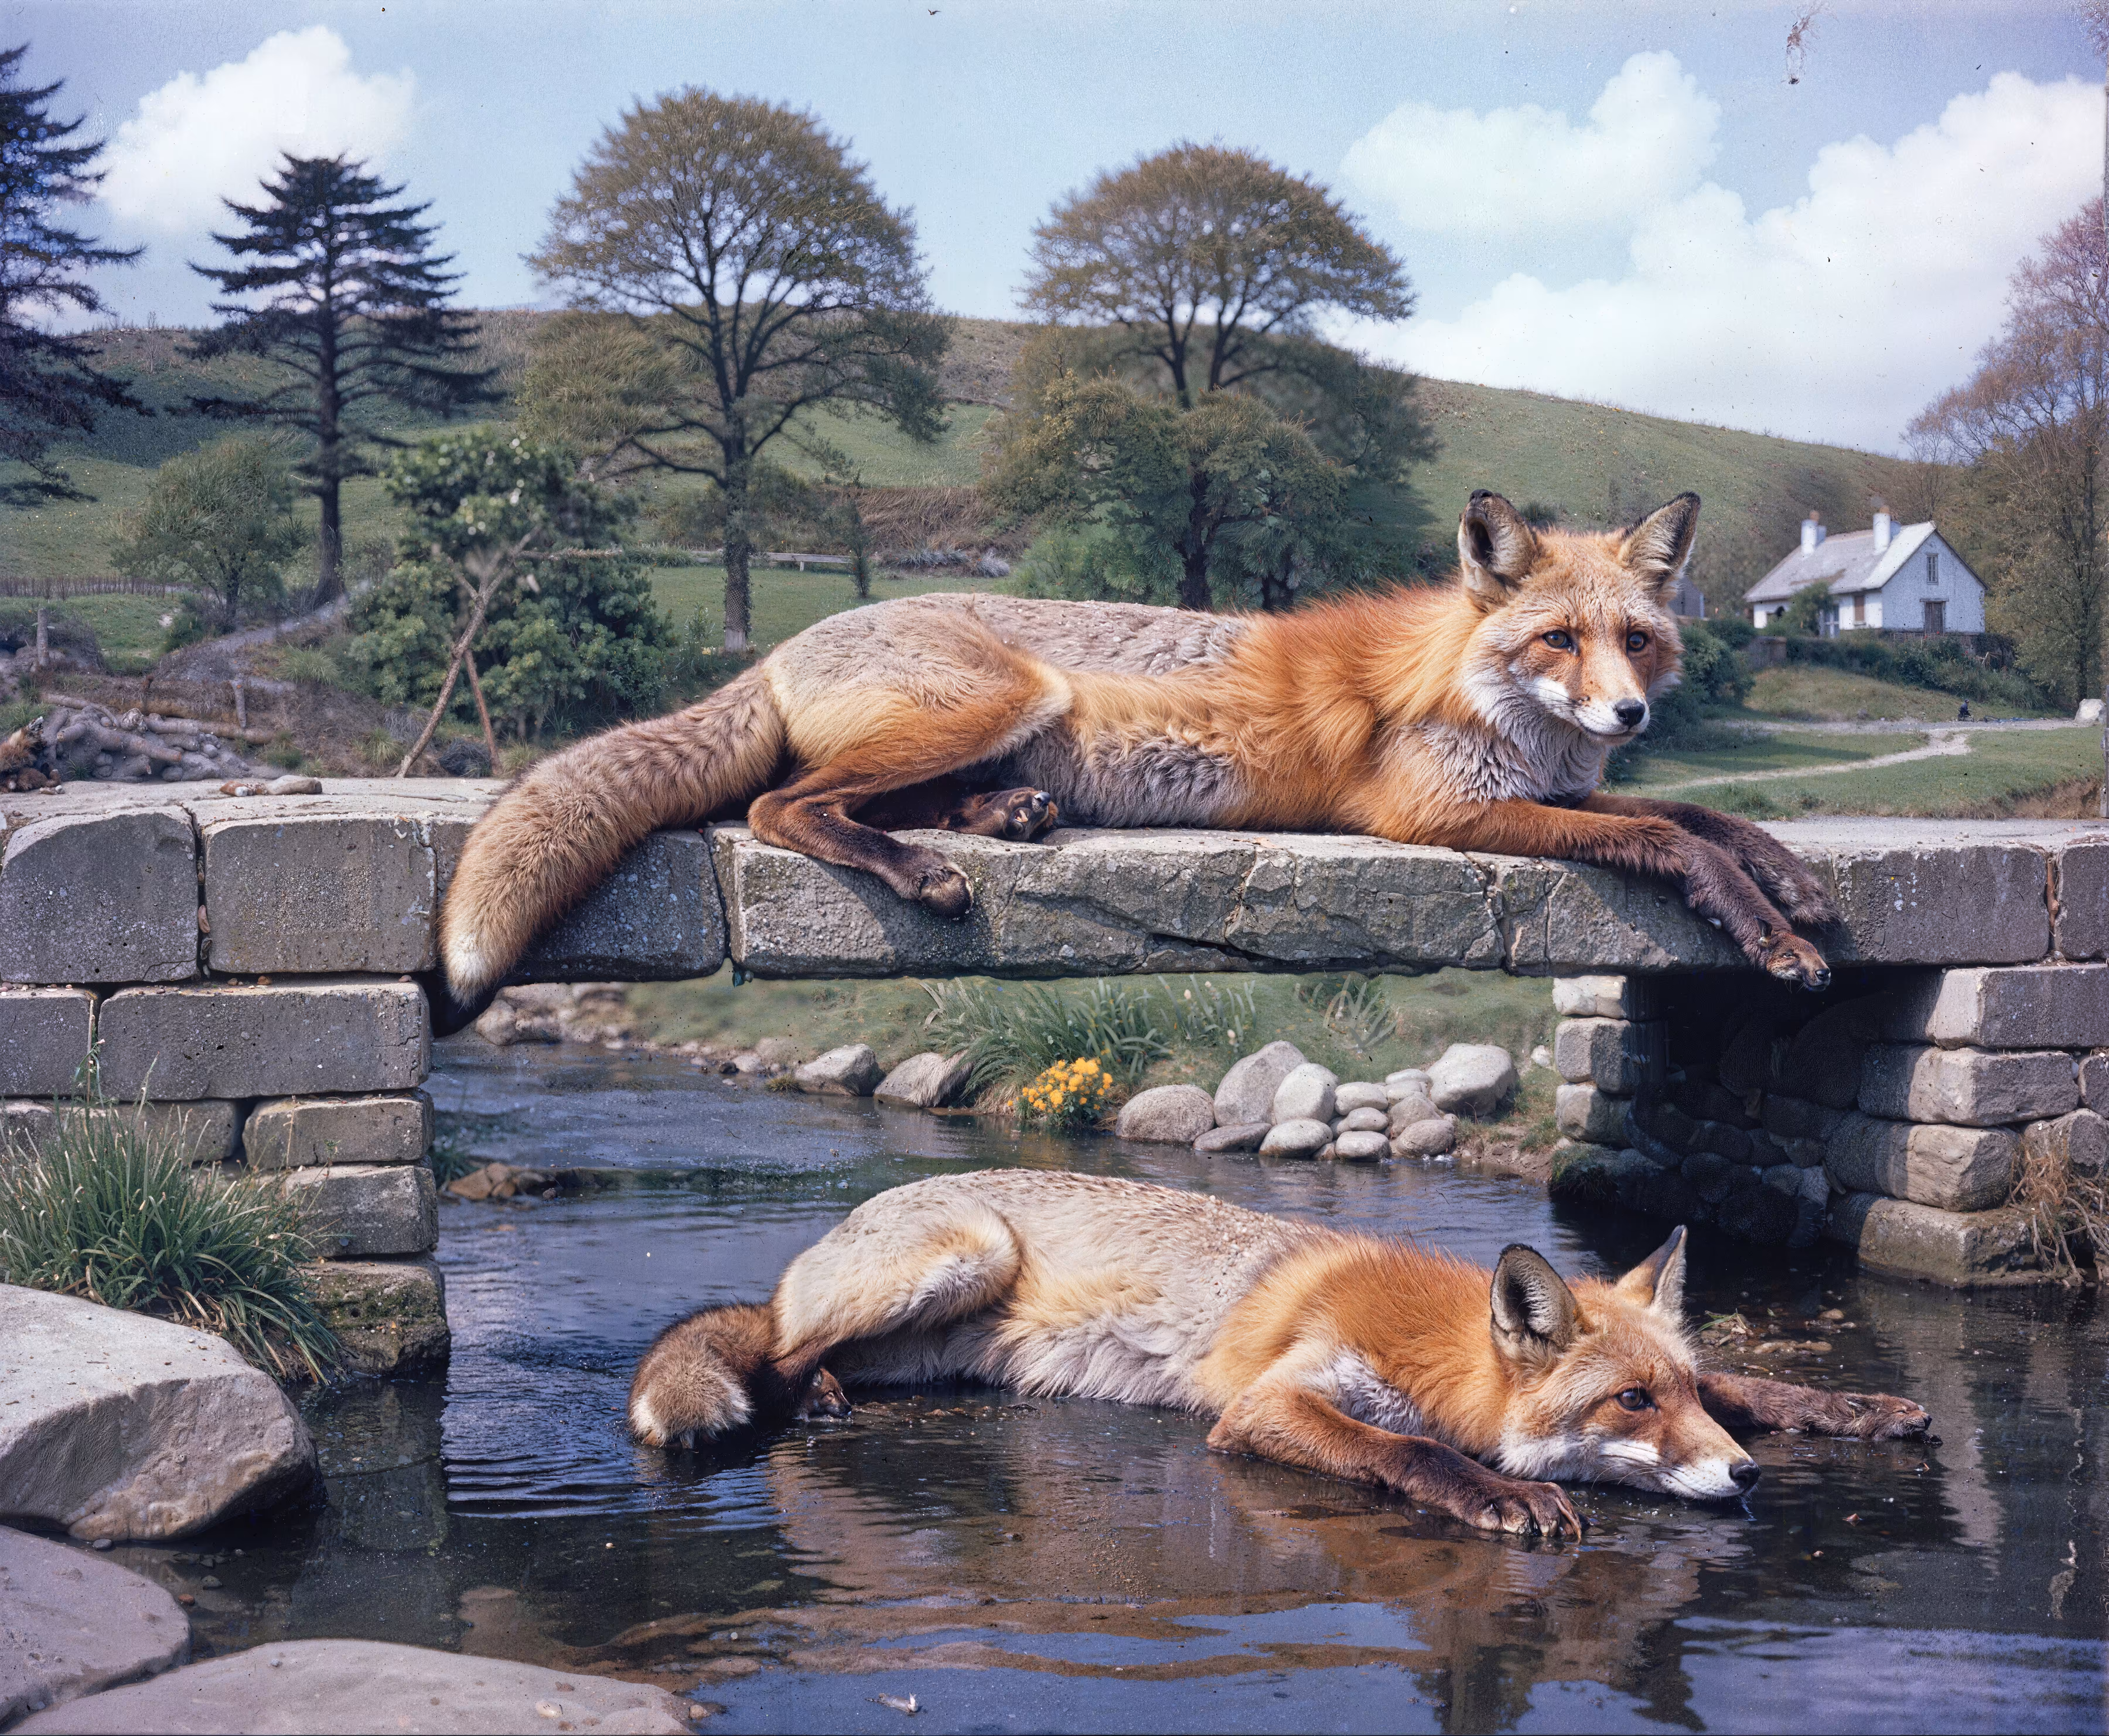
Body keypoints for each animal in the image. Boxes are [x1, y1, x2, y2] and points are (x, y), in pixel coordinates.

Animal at [431, 488, 1837, 1030]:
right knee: (786, 802)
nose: (1626, 718)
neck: (1495, 704)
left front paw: (1791, 880)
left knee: (867, 796)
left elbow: (1708, 818)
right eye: (1556, 638)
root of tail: (785, 643)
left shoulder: (1551, 787)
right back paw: (923, 867)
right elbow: (1660, 835)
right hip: (1005, 693)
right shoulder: (1438, 811)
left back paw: (999, 816)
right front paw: (1767, 935)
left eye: (1635, 640)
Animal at [627, 1170, 1931, 1536]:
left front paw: (1857, 1408)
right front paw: (1502, 1493)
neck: (1428, 1348)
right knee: (779, 1351)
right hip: (969, 1251)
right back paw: (814, 1390)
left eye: (1676, 1392)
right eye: (1628, 1401)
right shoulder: (1267, 1407)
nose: (1748, 1478)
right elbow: (1408, 1453)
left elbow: (1759, 1380)